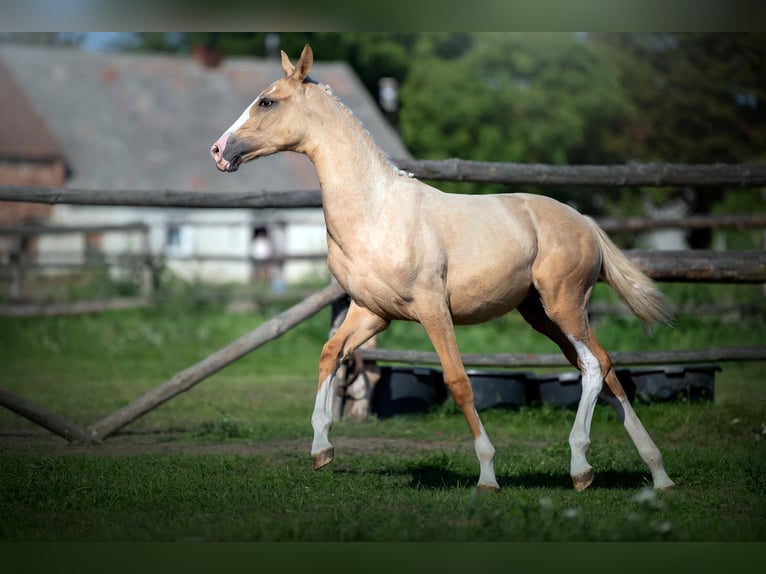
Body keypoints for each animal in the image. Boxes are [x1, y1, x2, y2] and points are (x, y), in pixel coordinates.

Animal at [212, 46, 680, 496]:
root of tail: (584, 221)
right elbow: (331, 354)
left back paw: (590, 466)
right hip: (541, 315)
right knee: (602, 368)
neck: (376, 212)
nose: (219, 151)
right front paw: (321, 448)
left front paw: (487, 476)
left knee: (595, 366)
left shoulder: (433, 309)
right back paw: (648, 474)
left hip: (564, 306)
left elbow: (458, 381)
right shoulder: (371, 312)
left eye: (267, 101)